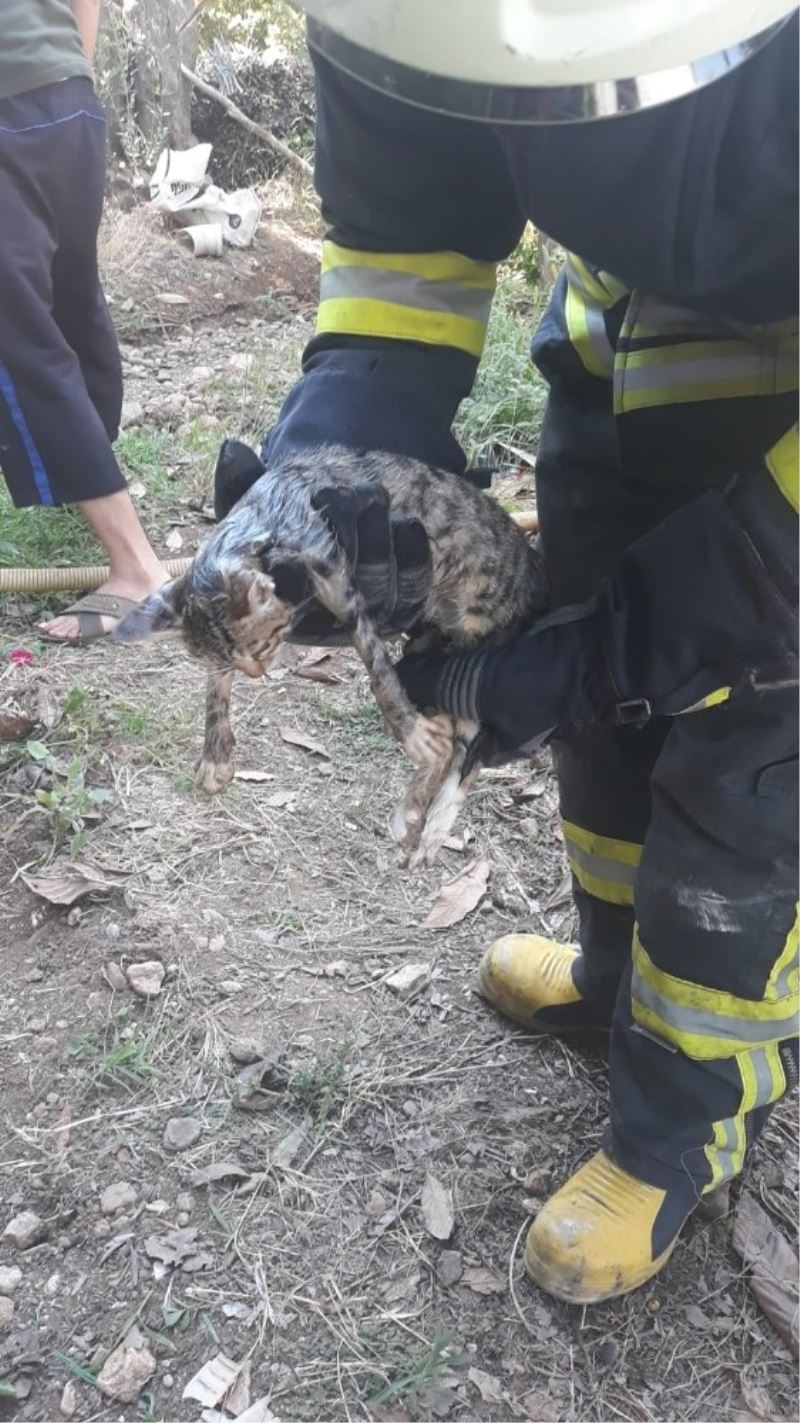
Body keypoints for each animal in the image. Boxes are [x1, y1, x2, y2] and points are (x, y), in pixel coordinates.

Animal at [115, 443, 543, 865]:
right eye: (244, 658)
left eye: (262, 647)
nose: (255, 672)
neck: (268, 517)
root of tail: (529, 559)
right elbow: (214, 690)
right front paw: (214, 755)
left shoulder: (336, 578)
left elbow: (380, 673)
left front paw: (414, 735)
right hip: (432, 645)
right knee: (458, 734)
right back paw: (416, 814)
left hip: (481, 630)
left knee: (471, 745)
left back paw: (430, 822)